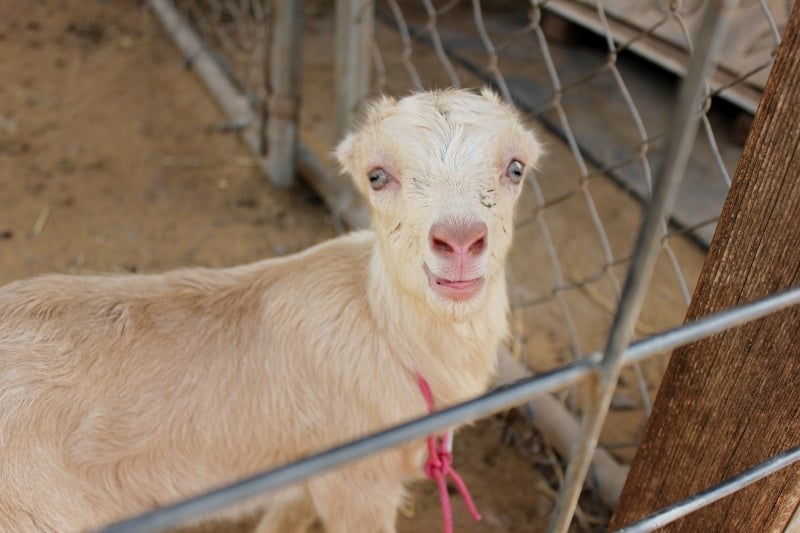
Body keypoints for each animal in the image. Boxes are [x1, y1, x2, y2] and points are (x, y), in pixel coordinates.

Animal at [0, 88, 544, 532]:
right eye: (377, 175)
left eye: (516, 167)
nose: (460, 240)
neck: (387, 333)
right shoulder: (357, 481)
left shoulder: (307, 473)